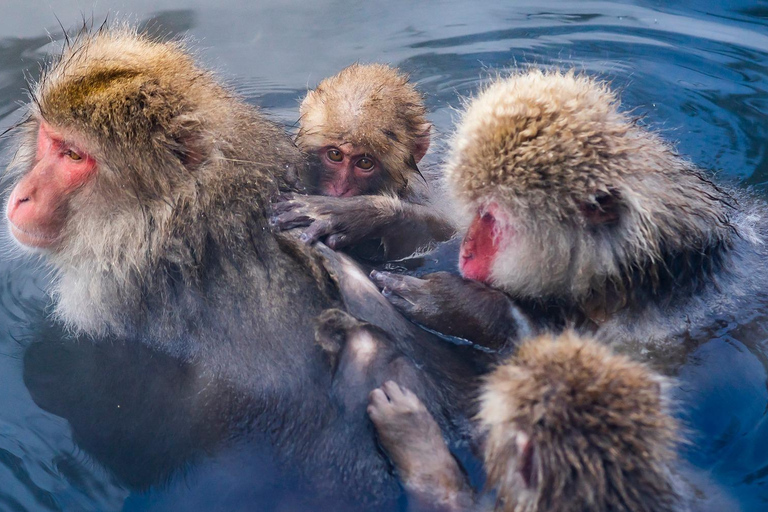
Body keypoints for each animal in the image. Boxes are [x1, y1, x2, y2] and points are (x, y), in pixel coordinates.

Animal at [370, 69, 766, 351]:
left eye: (492, 219)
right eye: (477, 212)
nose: (467, 253)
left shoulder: (663, 319)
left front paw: (457, 307)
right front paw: (384, 221)